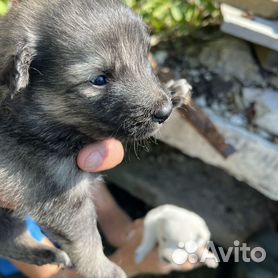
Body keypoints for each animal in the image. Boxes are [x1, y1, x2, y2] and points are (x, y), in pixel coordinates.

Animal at [0, 1, 189, 276]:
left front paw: (175, 91)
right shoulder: (60, 196)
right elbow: (87, 241)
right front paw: (106, 269)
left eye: (145, 58)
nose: (163, 111)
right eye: (99, 79)